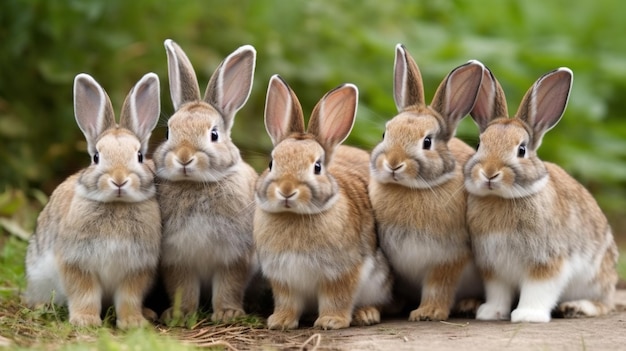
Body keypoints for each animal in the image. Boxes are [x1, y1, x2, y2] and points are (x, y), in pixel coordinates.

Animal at [24, 72, 161, 330]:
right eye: (96, 157)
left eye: (139, 156)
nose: (119, 180)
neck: (117, 204)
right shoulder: (77, 263)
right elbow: (84, 294)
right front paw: (85, 320)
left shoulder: (136, 270)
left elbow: (129, 298)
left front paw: (133, 323)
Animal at [152, 40, 258, 326]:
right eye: (168, 131)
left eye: (214, 134)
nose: (184, 157)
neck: (196, 185)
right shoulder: (177, 258)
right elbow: (183, 287)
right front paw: (179, 315)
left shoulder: (234, 256)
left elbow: (229, 285)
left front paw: (228, 314)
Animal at [252, 75, 390, 332]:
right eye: (271, 163)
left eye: (317, 167)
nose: (287, 190)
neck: (294, 215)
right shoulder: (283, 278)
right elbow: (287, 301)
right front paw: (280, 322)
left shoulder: (342, 272)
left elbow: (336, 297)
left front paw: (331, 321)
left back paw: (366, 314)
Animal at [368, 44, 486, 322]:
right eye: (385, 133)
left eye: (427, 142)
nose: (393, 163)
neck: (411, 189)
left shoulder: (449, 258)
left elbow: (438, 286)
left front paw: (427, 312)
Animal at [464, 64, 616, 324]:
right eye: (479, 145)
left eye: (522, 150)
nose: (490, 173)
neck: (502, 198)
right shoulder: (494, 267)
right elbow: (498, 292)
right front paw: (490, 313)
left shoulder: (546, 262)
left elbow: (538, 289)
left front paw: (527, 316)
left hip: (596, 279)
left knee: (606, 304)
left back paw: (576, 307)